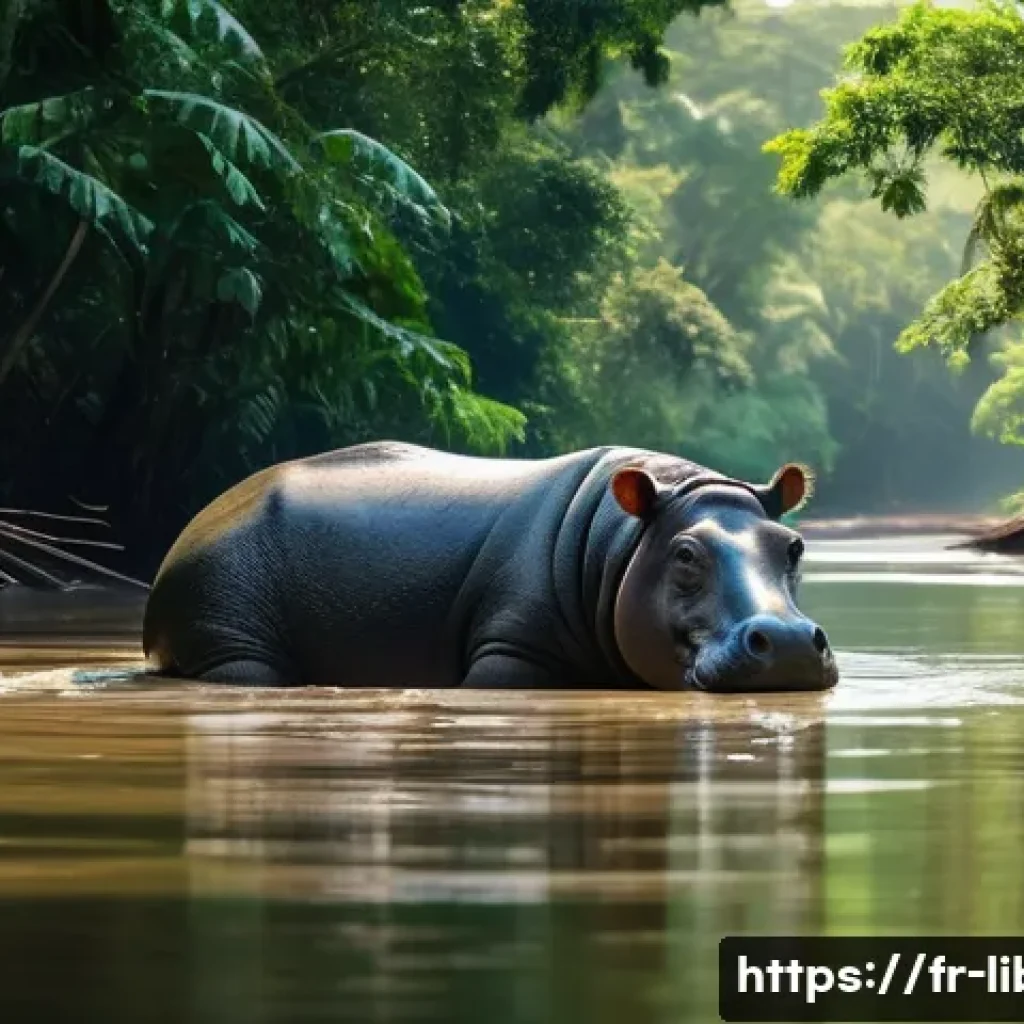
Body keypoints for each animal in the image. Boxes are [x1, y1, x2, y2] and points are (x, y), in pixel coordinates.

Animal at [142, 442, 837, 692]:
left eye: (792, 546)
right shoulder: (510, 654)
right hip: (234, 641)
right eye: (687, 553)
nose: (788, 642)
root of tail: (190, 527)